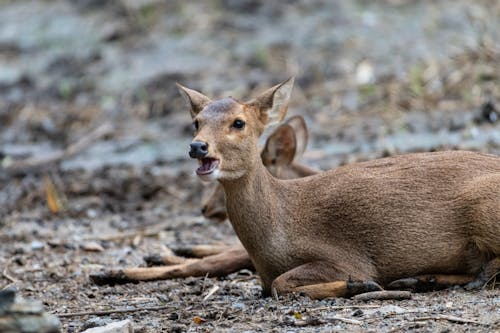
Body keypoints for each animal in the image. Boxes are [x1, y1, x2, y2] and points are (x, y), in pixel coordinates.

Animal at [177, 78, 500, 298]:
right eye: (196, 122)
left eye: (238, 122)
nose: (198, 146)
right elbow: (275, 285)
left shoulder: (345, 257)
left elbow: (283, 284)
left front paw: (359, 284)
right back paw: (420, 280)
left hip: (484, 207)